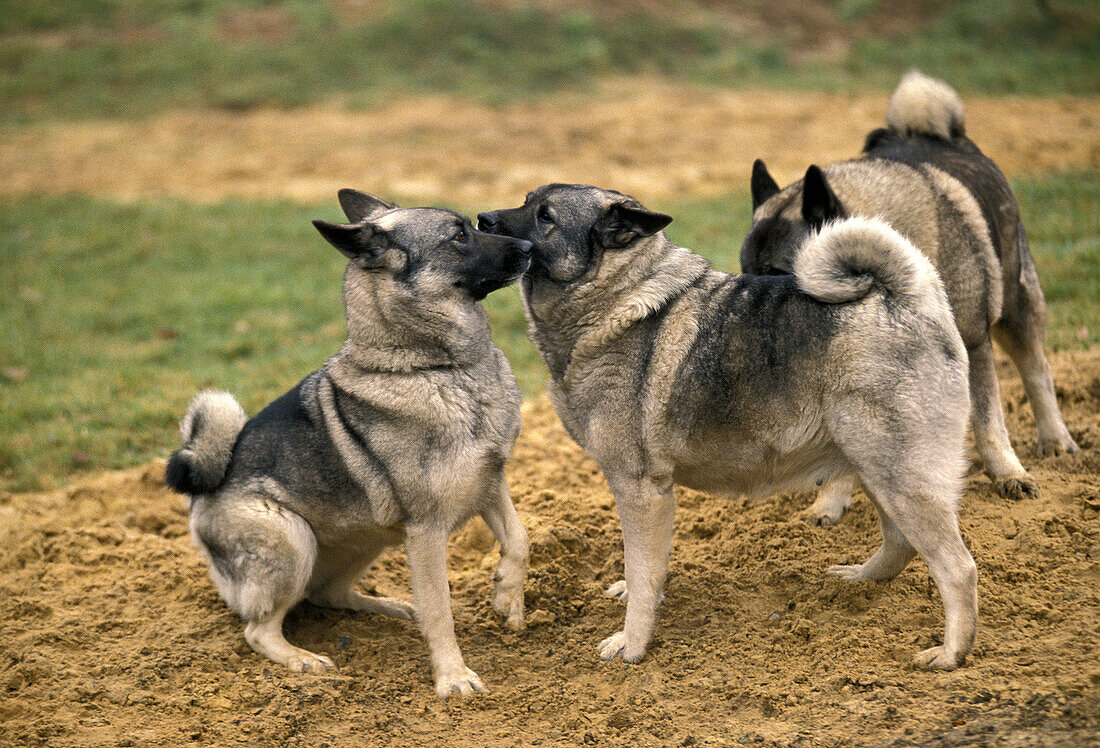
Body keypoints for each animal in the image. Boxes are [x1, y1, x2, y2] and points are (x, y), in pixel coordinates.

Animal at [163, 190, 536, 699]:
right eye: (459, 235)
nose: (530, 246)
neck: (435, 367)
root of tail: (203, 496)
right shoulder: (426, 530)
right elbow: (440, 609)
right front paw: (453, 677)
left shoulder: (489, 483)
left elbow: (519, 540)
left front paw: (506, 597)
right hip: (294, 538)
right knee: (258, 630)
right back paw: (301, 659)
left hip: (368, 538)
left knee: (328, 594)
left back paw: (395, 608)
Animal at [481, 185, 981, 673]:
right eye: (526, 202)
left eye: (545, 217)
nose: (483, 219)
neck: (617, 296)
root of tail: (907, 297)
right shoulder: (654, 497)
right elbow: (650, 568)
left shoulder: (640, 491)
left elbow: (642, 573)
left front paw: (632, 644)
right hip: (877, 470)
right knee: (900, 544)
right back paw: (860, 581)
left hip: (901, 477)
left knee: (957, 569)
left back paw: (951, 653)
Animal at [743, 70, 1078, 525]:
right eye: (743, 269)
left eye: (775, 273)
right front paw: (830, 502)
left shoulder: (974, 343)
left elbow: (989, 421)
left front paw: (1007, 473)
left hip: (1015, 306)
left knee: (1036, 370)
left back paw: (1055, 441)